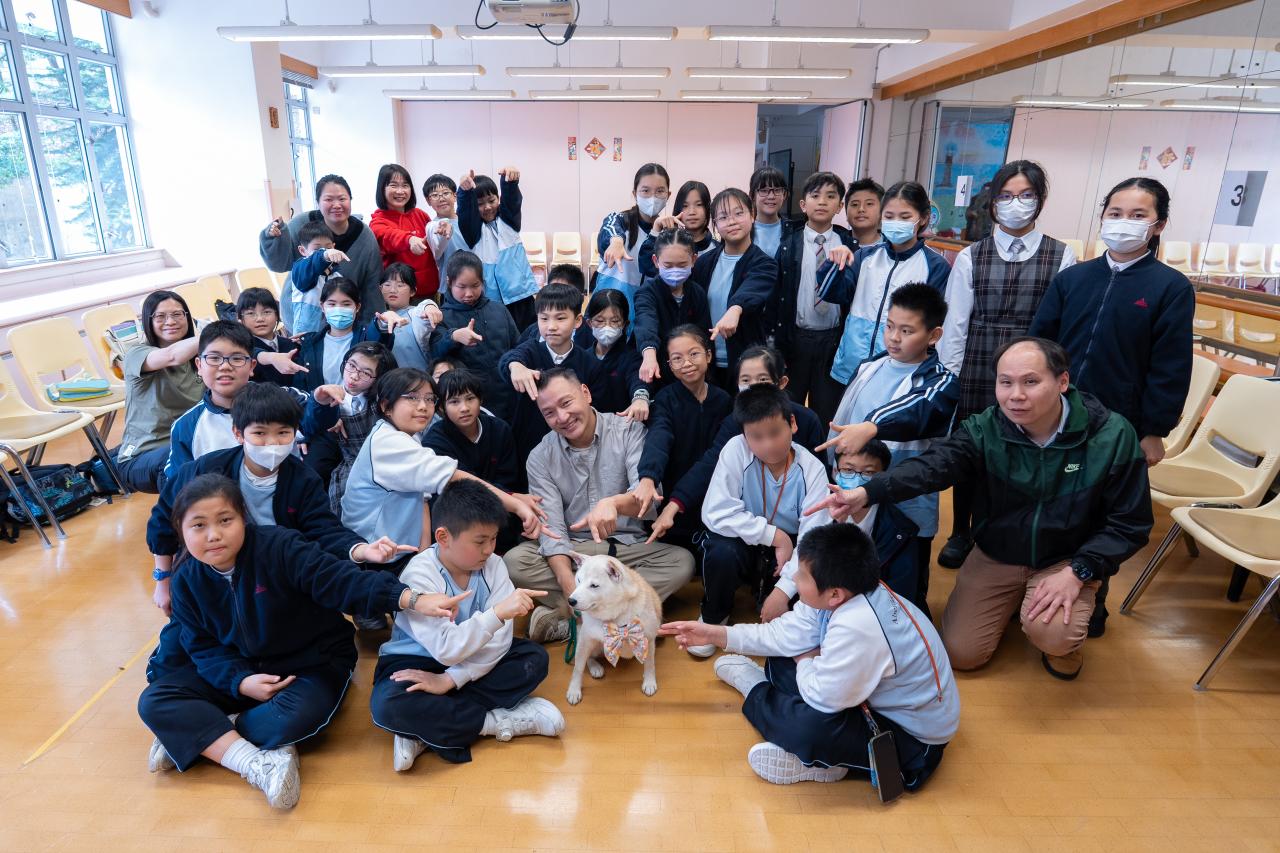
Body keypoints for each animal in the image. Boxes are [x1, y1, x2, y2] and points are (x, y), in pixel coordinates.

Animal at [564, 553, 662, 705]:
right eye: (578, 580)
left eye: (594, 585)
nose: (571, 601)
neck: (617, 616)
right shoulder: (586, 639)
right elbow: (578, 668)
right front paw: (574, 690)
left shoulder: (648, 640)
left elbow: (650, 665)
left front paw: (649, 681)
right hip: (591, 642)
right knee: (587, 657)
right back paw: (595, 667)